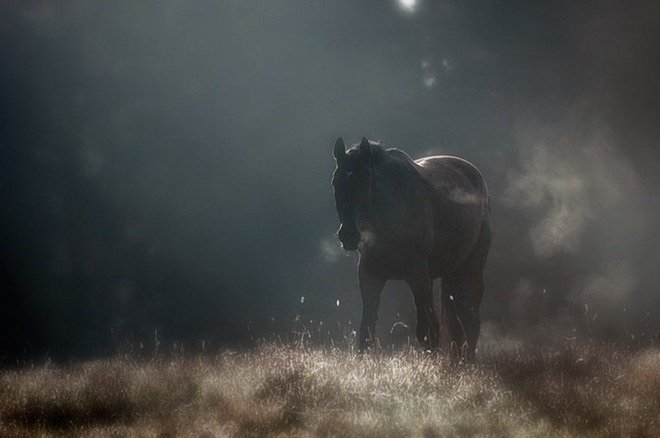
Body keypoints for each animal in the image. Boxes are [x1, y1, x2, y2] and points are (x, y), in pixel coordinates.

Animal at [330, 136, 490, 360]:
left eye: (366, 181)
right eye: (336, 182)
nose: (348, 235)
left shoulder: (418, 274)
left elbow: (427, 329)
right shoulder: (369, 274)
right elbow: (366, 329)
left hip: (472, 267)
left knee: (470, 319)